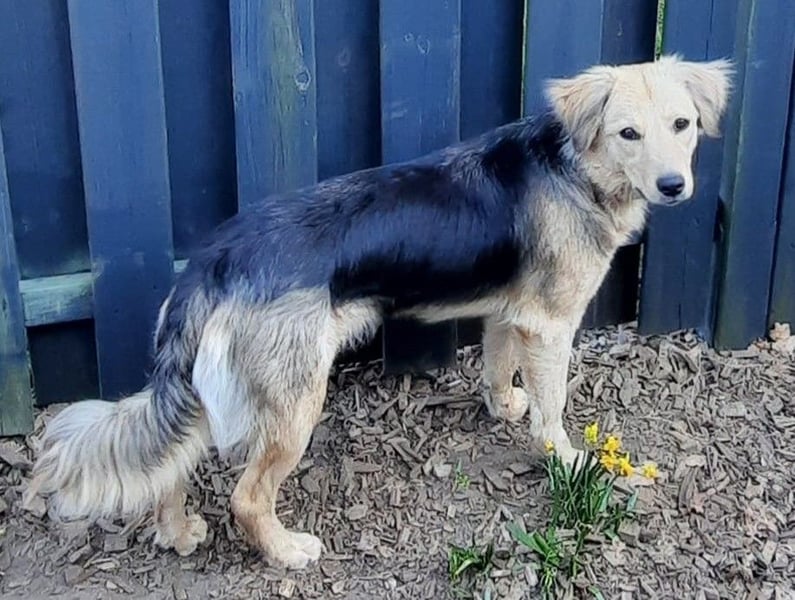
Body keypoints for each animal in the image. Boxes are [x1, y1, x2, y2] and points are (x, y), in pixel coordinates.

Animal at [26, 55, 731, 570]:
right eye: (628, 134)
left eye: (683, 125)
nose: (674, 186)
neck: (572, 166)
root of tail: (211, 260)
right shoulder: (551, 324)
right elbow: (553, 404)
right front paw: (564, 455)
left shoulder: (511, 313)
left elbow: (498, 365)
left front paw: (504, 405)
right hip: (294, 401)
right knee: (247, 497)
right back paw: (287, 552)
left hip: (221, 388)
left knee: (169, 468)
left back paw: (176, 533)